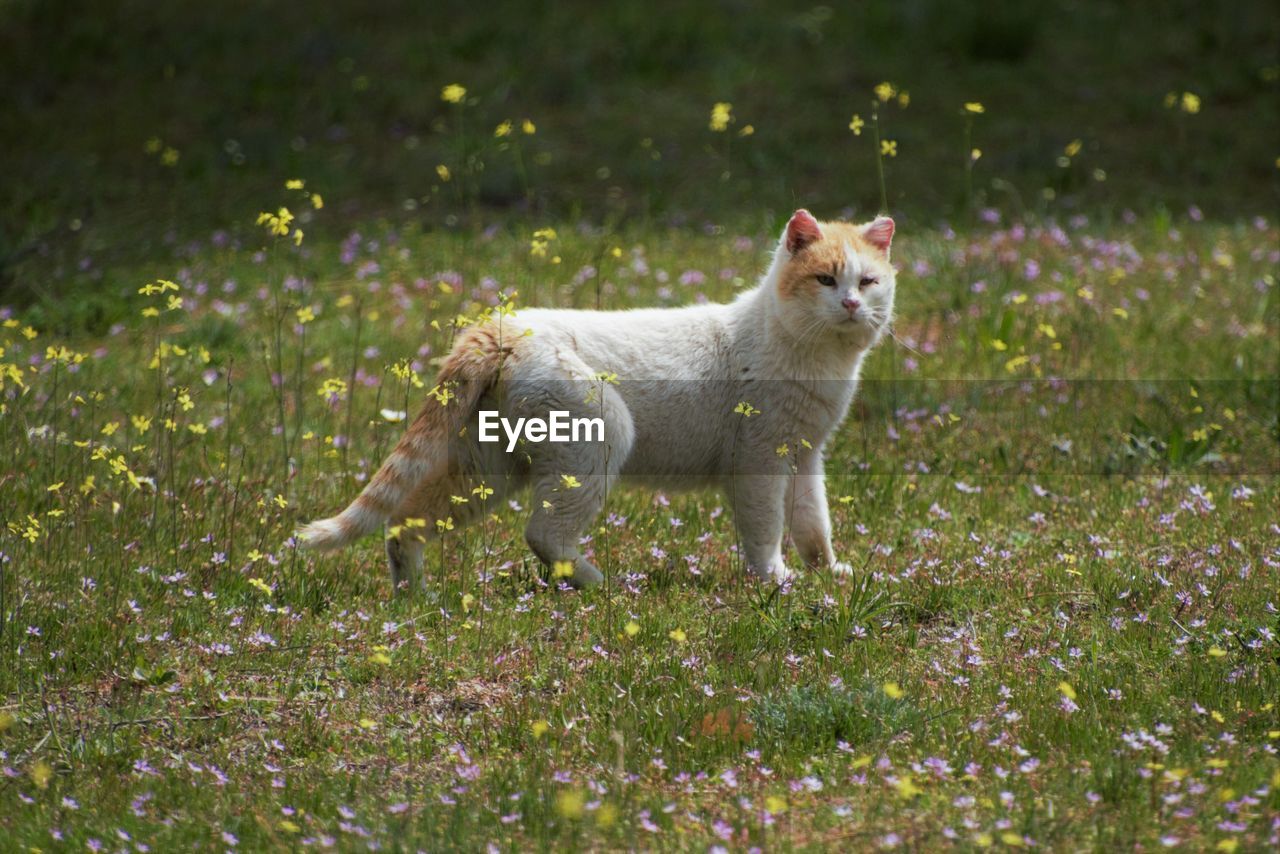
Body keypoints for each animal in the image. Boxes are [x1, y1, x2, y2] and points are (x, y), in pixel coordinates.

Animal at [299, 209, 901, 591]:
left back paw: (414, 598)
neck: (818, 358)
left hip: (486, 469)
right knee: (542, 535)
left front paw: (826, 574)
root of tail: (501, 328)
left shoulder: (804, 456)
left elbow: (813, 524)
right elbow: (766, 530)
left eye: (868, 282)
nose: (851, 305)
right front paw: (774, 582)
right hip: (601, 437)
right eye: (825, 279)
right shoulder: (759, 459)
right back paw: (599, 584)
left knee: (406, 521)